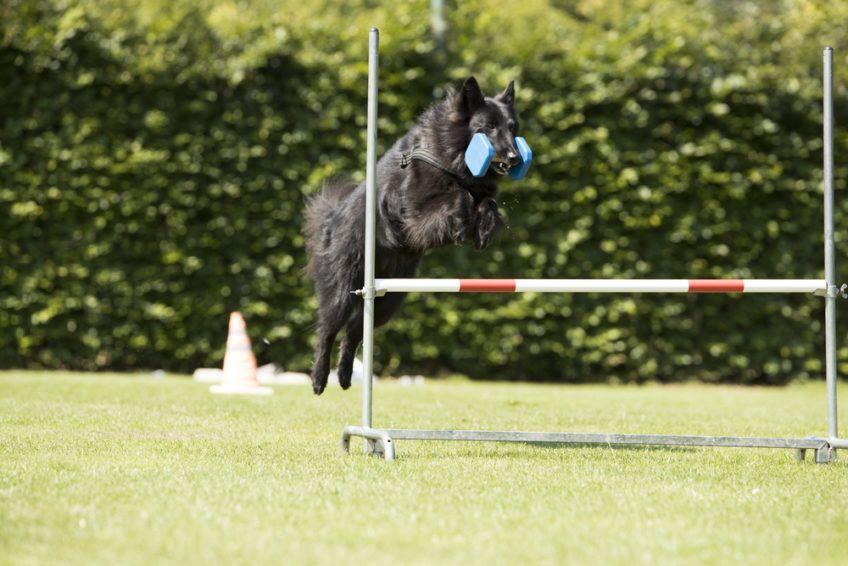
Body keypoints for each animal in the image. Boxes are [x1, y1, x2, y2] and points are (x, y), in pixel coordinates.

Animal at [304, 77, 516, 398]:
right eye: (489, 127)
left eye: (512, 126)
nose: (515, 157)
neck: (450, 154)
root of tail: (331, 219)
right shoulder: (413, 213)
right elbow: (460, 197)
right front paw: (462, 226)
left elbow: (486, 202)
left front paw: (483, 231)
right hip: (343, 289)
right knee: (327, 331)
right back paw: (319, 380)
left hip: (389, 299)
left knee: (353, 331)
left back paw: (344, 376)